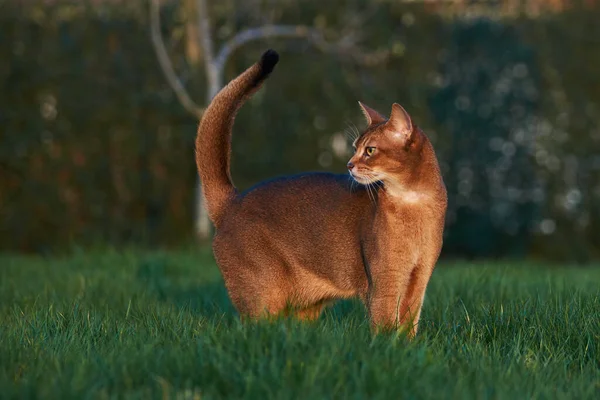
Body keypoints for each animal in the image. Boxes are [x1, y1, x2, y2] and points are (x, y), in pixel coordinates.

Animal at [196, 50, 446, 338]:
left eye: (370, 150)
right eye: (355, 147)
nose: (349, 164)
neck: (415, 203)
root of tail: (232, 201)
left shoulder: (419, 277)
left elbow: (408, 326)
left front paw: (406, 346)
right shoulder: (386, 279)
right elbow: (384, 324)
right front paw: (386, 346)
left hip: (304, 307)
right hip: (264, 297)